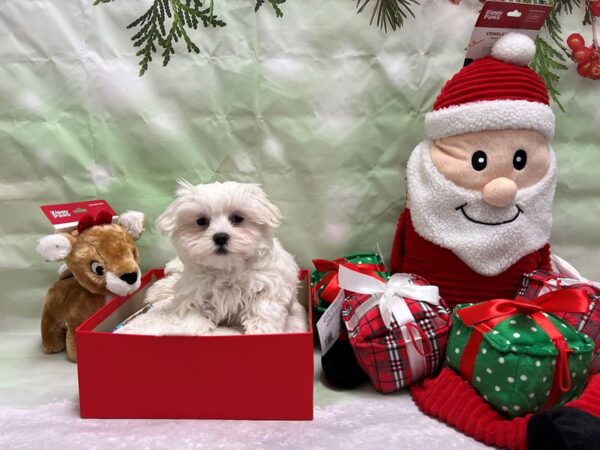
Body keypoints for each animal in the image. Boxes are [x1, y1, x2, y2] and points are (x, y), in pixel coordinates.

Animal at [115, 181, 308, 336]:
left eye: (237, 218)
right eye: (201, 221)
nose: (220, 237)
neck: (226, 269)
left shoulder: (268, 285)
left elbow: (263, 310)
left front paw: (261, 332)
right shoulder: (195, 292)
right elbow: (193, 313)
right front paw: (188, 332)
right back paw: (156, 291)